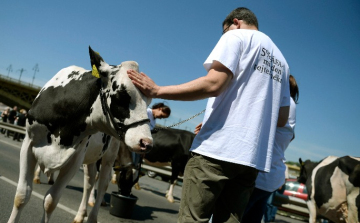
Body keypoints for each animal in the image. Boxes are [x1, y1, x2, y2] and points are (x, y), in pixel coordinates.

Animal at [7, 47, 153, 223]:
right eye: (121, 96)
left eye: (149, 101)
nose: (146, 142)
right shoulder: (28, 144)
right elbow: (22, 195)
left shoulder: (75, 159)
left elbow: (50, 201)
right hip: (92, 157)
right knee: (89, 181)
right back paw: (80, 214)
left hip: (109, 155)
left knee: (102, 184)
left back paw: (91, 217)